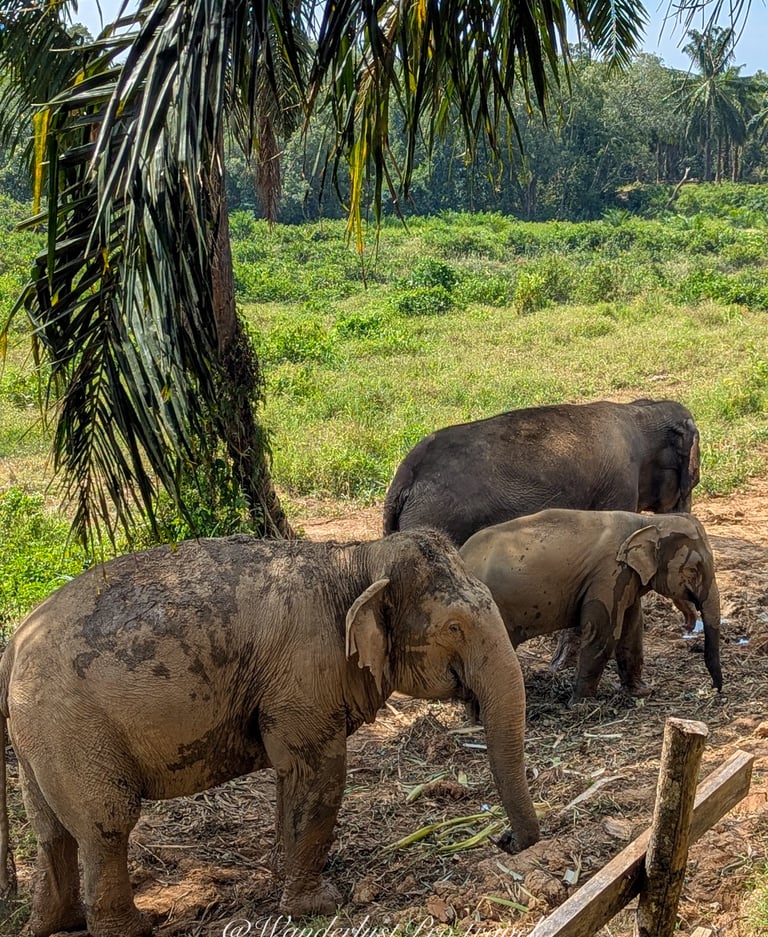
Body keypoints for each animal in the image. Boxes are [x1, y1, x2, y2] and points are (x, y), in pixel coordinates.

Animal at [0, 528, 539, 937]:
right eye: (454, 627)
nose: (507, 842)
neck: (357, 557)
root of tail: (15, 642)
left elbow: (292, 776)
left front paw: (282, 877)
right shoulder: (304, 671)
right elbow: (319, 774)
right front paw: (319, 904)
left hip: (38, 737)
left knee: (52, 828)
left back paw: (57, 924)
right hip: (72, 726)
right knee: (106, 824)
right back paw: (132, 929)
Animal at [459, 509, 722, 703]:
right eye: (693, 569)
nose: (716, 690)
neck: (648, 521)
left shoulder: (626, 580)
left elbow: (632, 630)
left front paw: (641, 692)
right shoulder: (608, 574)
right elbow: (603, 633)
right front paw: (581, 705)